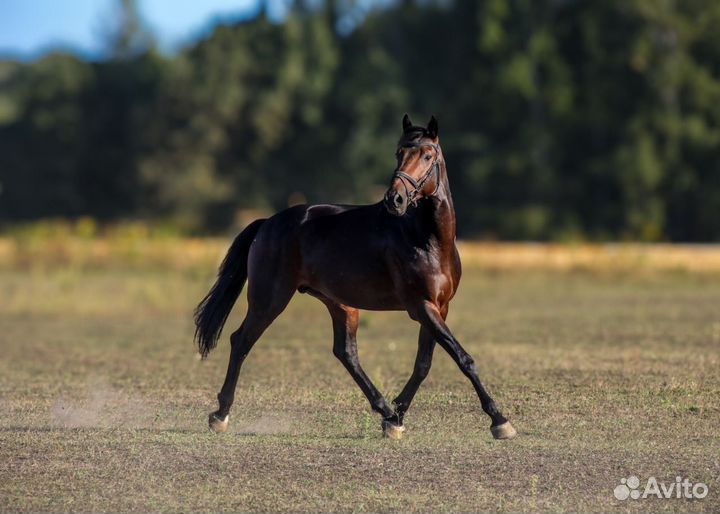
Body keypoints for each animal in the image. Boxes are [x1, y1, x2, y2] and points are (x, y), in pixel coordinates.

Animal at [194, 116, 516, 440]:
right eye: (399, 152)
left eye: (427, 155)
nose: (395, 199)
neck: (428, 240)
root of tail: (267, 223)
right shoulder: (422, 307)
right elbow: (462, 358)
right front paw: (499, 421)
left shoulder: (440, 307)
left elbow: (424, 364)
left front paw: (398, 415)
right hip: (269, 300)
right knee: (241, 341)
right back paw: (220, 415)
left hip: (341, 304)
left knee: (345, 353)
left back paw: (386, 412)